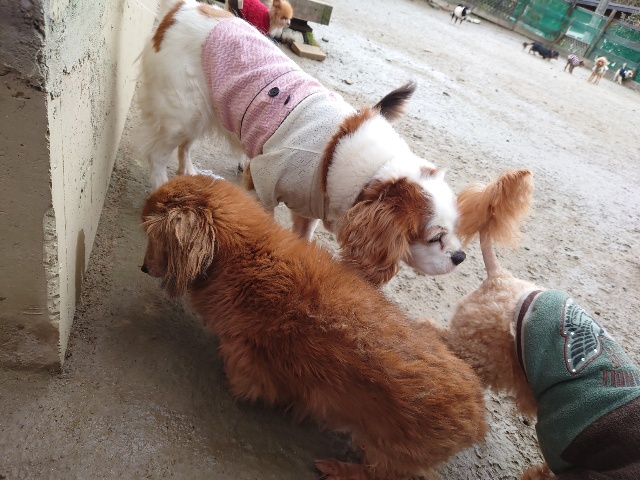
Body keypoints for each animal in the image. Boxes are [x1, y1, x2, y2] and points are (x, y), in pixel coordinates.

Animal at [136, 0, 466, 286]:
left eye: (454, 228)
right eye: (434, 237)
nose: (461, 256)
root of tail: (184, 8)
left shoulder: (307, 208)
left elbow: (302, 238)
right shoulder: (260, 183)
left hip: (201, 113)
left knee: (186, 146)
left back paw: (189, 173)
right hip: (182, 113)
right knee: (157, 156)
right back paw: (163, 189)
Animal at [140, 174, 488, 480]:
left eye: (152, 235)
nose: (143, 267)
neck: (246, 257)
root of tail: (477, 414)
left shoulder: (246, 354)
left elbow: (247, 378)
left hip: (382, 449)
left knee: (383, 474)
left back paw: (338, 469)